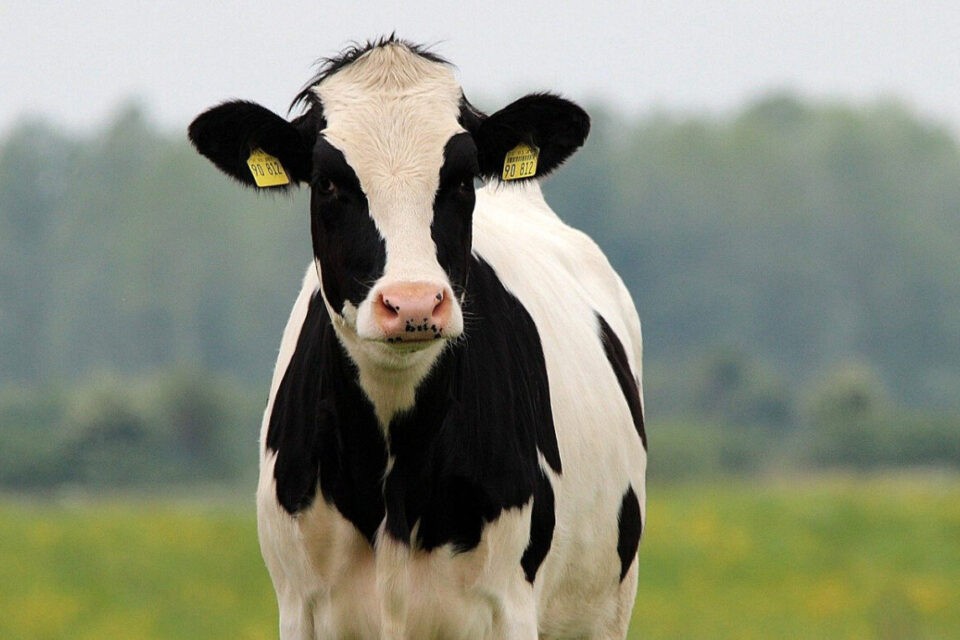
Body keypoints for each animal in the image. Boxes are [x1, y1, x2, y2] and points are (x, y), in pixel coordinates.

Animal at [188, 36, 646, 640]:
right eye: (329, 182)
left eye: (461, 179)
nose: (412, 302)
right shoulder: (300, 606)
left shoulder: (509, 605)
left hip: (602, 611)